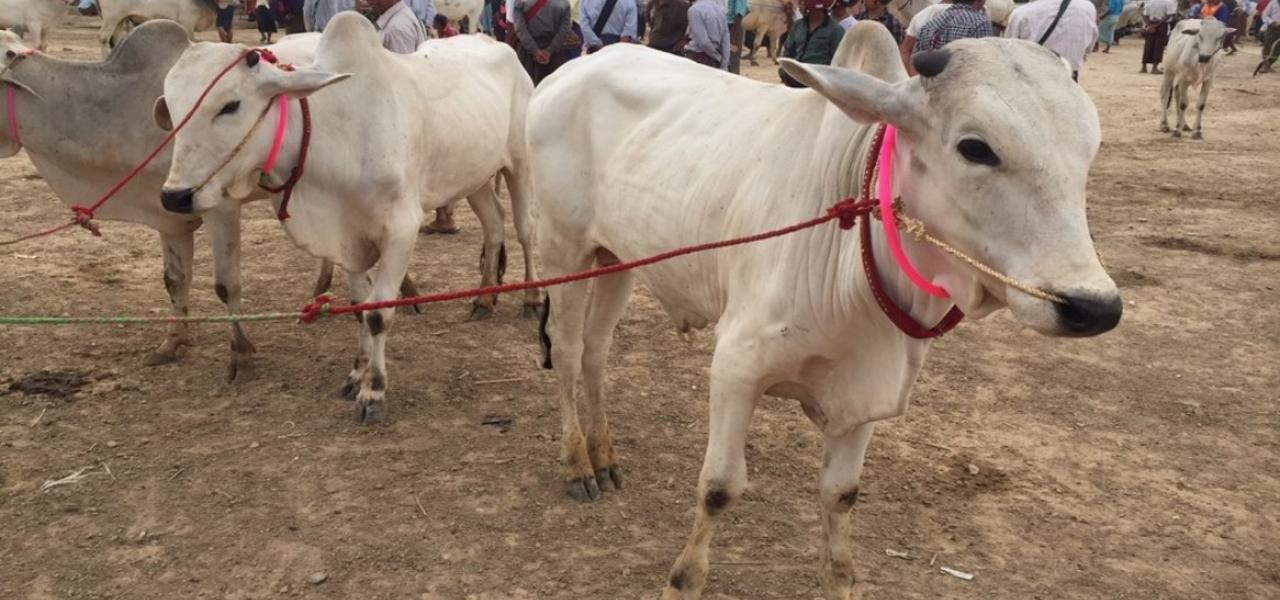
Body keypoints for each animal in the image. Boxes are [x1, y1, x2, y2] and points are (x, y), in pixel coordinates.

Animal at [155, 13, 537, 424]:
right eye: (172, 110)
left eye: (230, 105)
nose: (175, 196)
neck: (336, 135)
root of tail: (499, 45)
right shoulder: (347, 236)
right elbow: (359, 307)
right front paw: (356, 373)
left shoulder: (401, 230)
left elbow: (378, 313)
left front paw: (374, 391)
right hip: (473, 177)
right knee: (494, 224)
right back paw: (484, 299)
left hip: (520, 166)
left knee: (525, 231)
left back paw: (531, 298)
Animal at [528, 22, 1120, 600]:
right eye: (976, 148)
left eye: (1089, 149)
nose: (1094, 306)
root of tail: (574, 68)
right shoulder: (736, 368)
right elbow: (719, 488)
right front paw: (682, 582)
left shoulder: (865, 395)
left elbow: (841, 496)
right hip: (564, 250)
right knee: (569, 348)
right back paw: (577, 464)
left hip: (616, 259)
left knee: (597, 350)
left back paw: (604, 455)